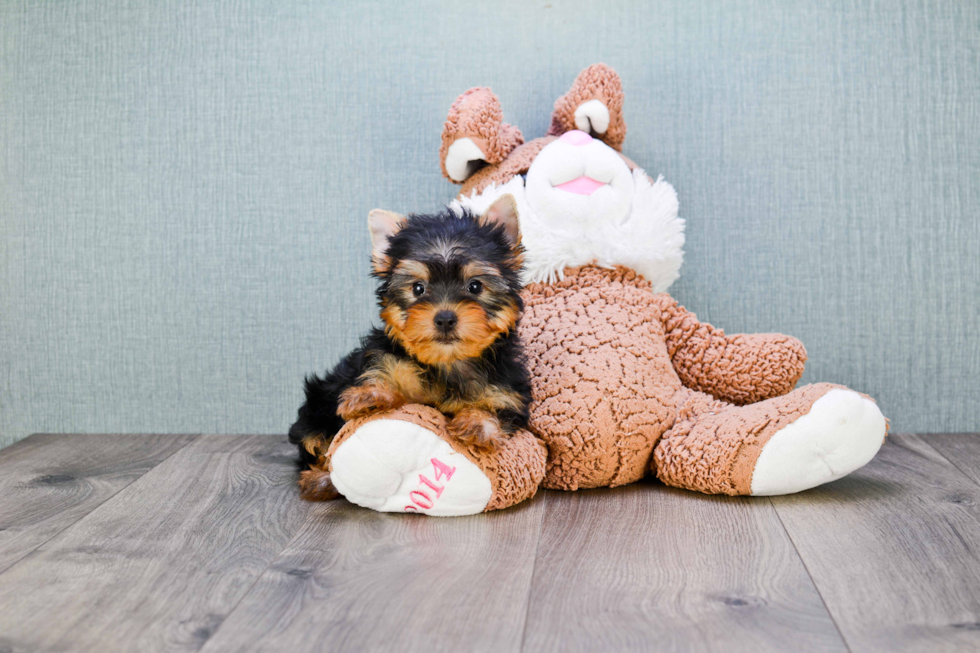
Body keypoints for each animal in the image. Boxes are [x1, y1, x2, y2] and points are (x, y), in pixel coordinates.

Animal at [288, 194, 532, 500]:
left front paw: (477, 424)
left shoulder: (507, 394)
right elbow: (384, 383)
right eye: (418, 289)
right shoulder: (383, 362)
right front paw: (369, 396)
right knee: (315, 442)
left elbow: (496, 414)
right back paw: (319, 480)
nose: (445, 318)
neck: (447, 362)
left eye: (475, 286)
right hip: (317, 406)